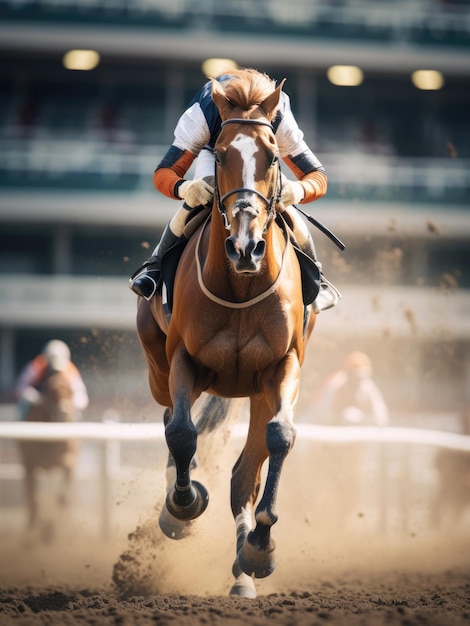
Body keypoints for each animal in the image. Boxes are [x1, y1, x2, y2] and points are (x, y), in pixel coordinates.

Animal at [18, 368, 79, 540]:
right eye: (52, 392)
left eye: (71, 392)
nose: (66, 413)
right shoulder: (30, 464)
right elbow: (34, 499)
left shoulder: (67, 462)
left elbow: (63, 497)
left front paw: (52, 530)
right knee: (31, 497)